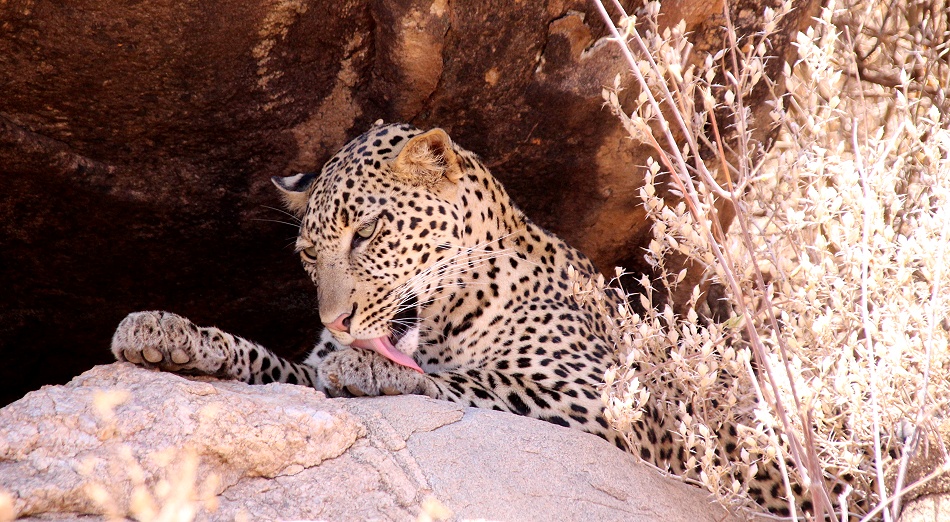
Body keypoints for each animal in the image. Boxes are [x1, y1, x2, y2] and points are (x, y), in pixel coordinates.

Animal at [111, 122, 856, 517]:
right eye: (308, 255)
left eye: (367, 232)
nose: (340, 322)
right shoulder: (305, 375)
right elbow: (271, 363)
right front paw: (166, 332)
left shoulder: (611, 406)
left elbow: (472, 382)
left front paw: (373, 367)